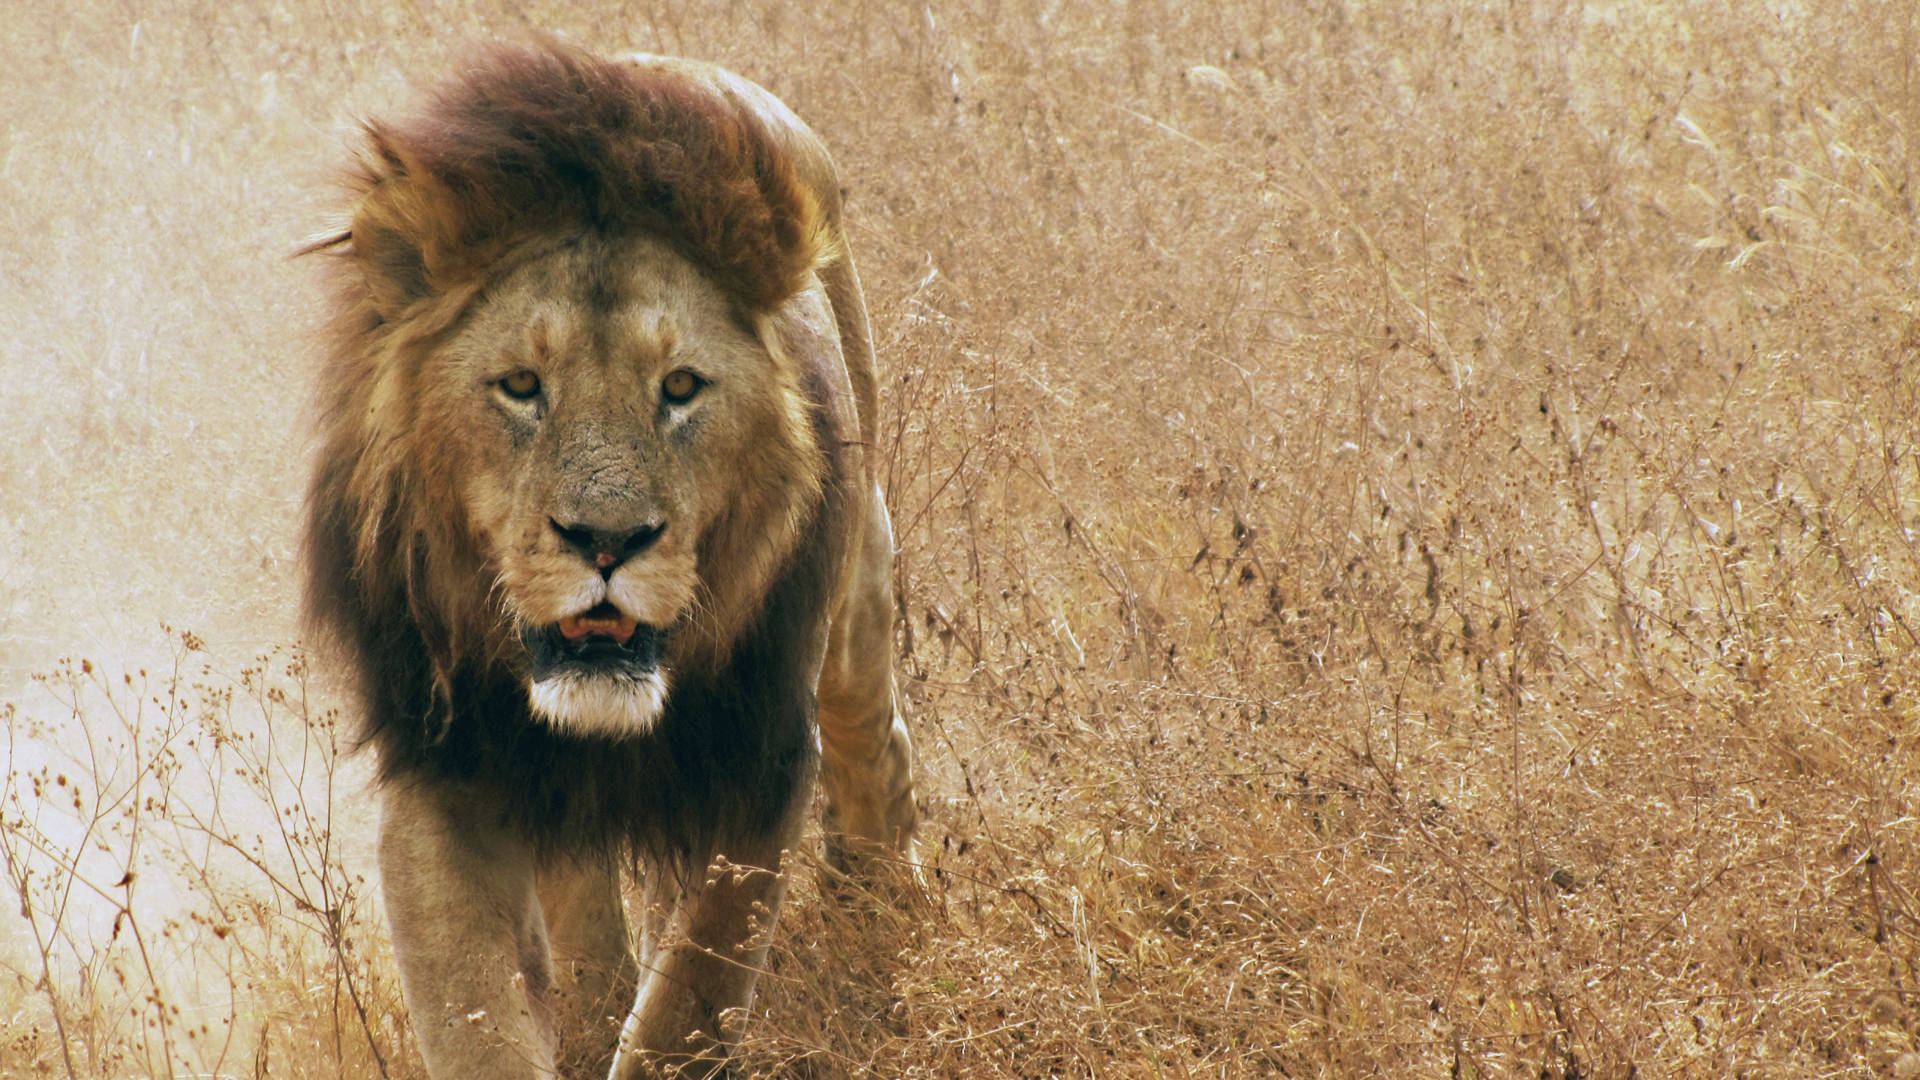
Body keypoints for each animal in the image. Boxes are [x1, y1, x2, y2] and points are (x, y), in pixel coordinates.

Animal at [301, 41, 918, 1079]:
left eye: (681, 386)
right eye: (520, 385)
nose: (606, 541)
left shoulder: (757, 766)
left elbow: (687, 1001)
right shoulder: (444, 768)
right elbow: (475, 1014)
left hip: (858, 591)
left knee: (874, 740)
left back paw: (886, 926)